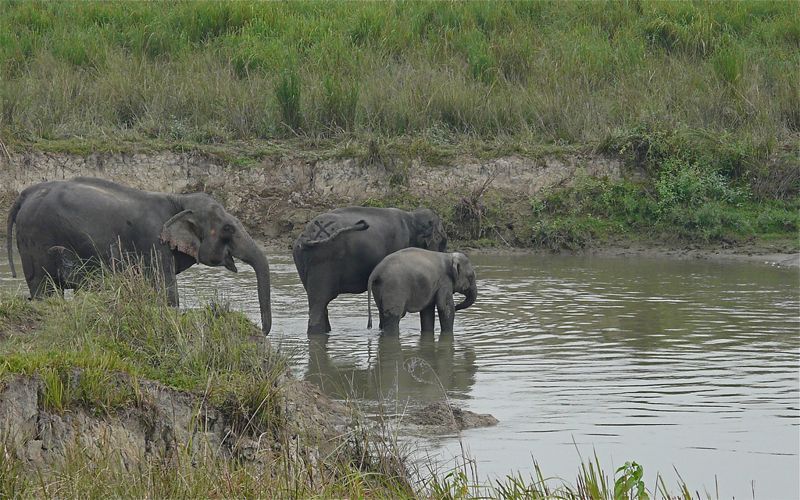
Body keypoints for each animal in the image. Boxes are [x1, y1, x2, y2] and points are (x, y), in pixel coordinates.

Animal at [6, 177, 272, 334]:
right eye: (228, 229)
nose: (261, 331)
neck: (178, 199)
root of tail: (25, 194)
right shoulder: (153, 240)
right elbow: (167, 293)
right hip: (37, 237)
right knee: (45, 288)